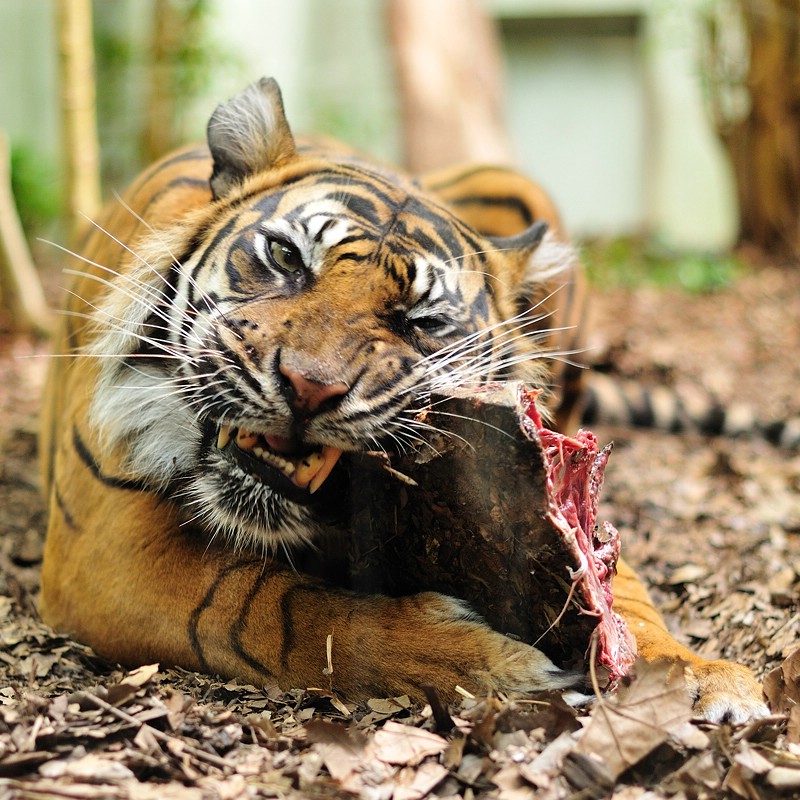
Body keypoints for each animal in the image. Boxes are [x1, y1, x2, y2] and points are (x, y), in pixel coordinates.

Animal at [39, 77, 768, 723]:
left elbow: (622, 592)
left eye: (422, 320)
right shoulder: (109, 547)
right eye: (285, 256)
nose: (308, 386)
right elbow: (279, 608)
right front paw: (496, 664)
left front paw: (697, 676)